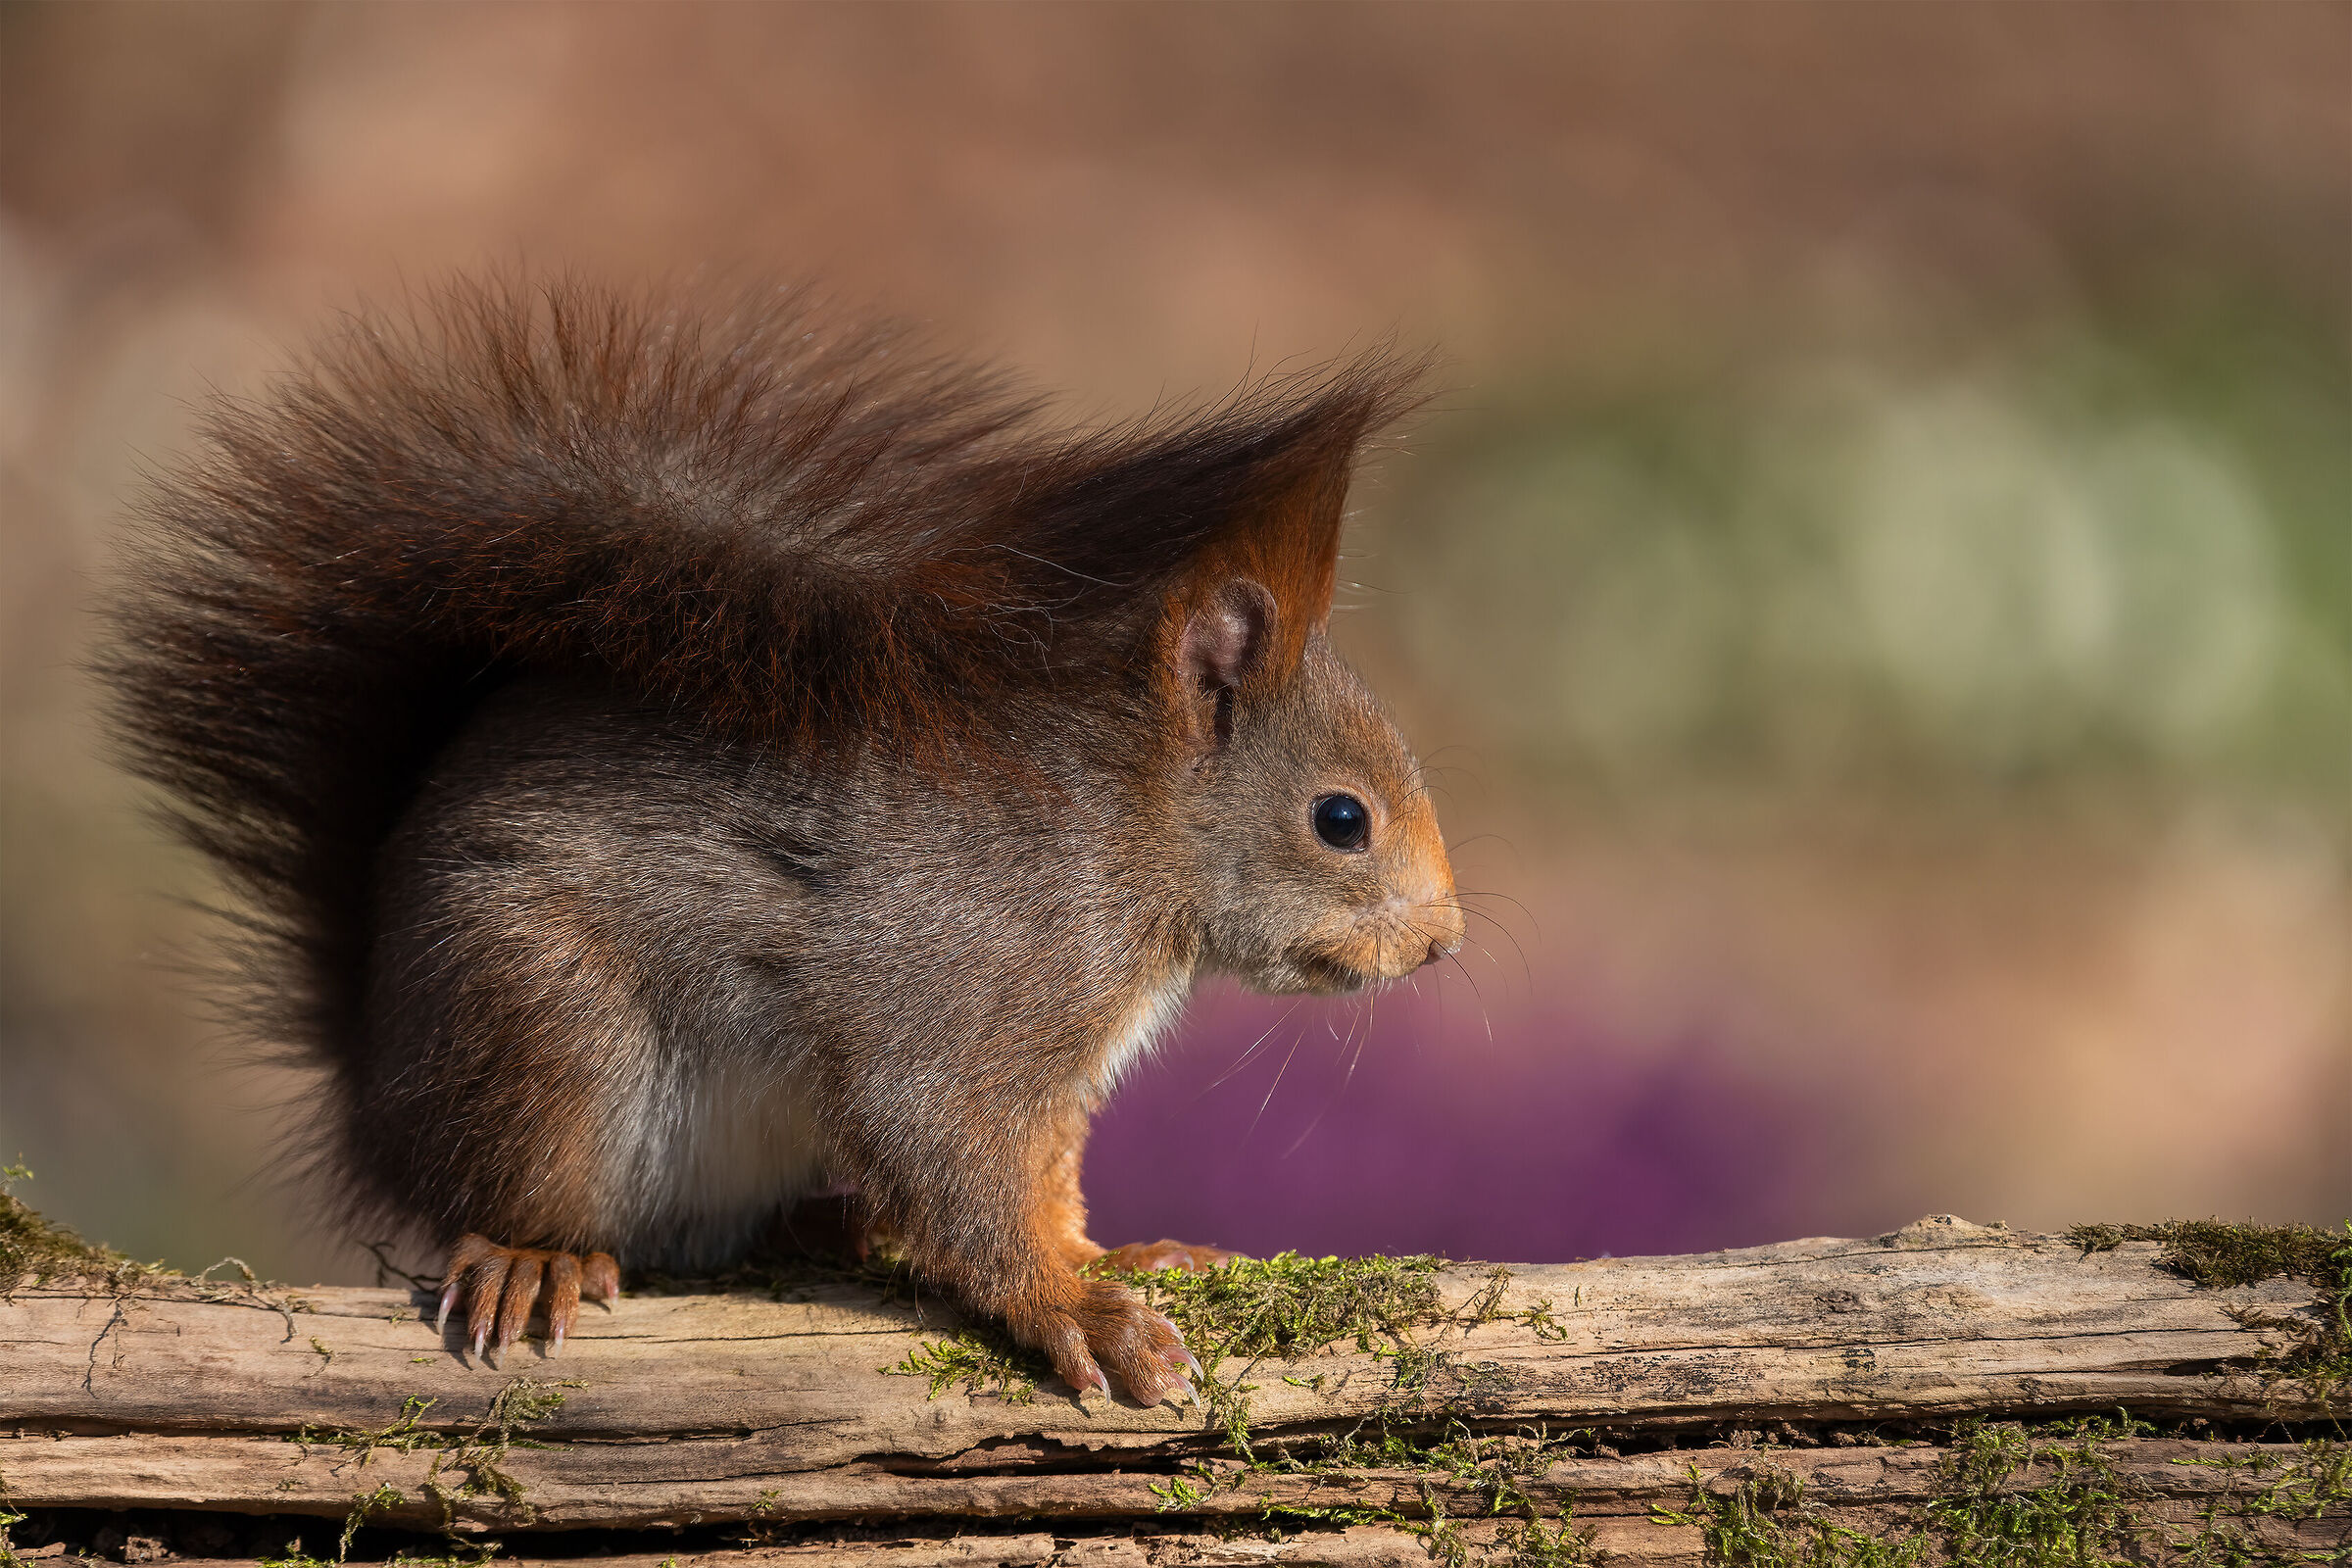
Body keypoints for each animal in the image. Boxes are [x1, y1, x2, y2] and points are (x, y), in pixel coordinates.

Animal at [103, 278, 1464, 1408]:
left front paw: (1118, 1248)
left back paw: (837, 1226)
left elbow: (1040, 1184)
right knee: (525, 1202)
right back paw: (535, 1253)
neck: (1125, 833)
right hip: (547, 1038)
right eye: (1341, 819)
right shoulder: (969, 990)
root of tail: (373, 1092)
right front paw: (1079, 1310)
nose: (1443, 946)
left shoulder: (1057, 1085)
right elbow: (953, 1157)